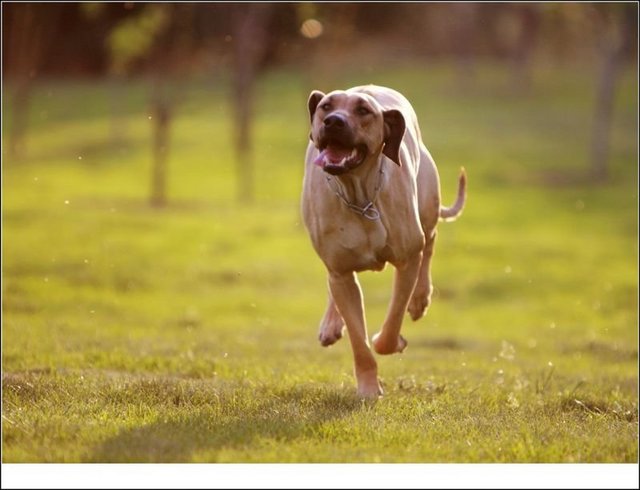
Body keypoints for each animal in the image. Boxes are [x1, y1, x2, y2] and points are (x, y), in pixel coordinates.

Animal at [300, 84, 464, 398]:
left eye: (364, 111)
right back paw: (331, 324)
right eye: (326, 106)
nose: (333, 122)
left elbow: (390, 324)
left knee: (430, 240)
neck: (359, 194)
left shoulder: (408, 259)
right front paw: (367, 388)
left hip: (427, 204)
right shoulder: (340, 271)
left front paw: (392, 340)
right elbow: (358, 341)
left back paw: (420, 297)